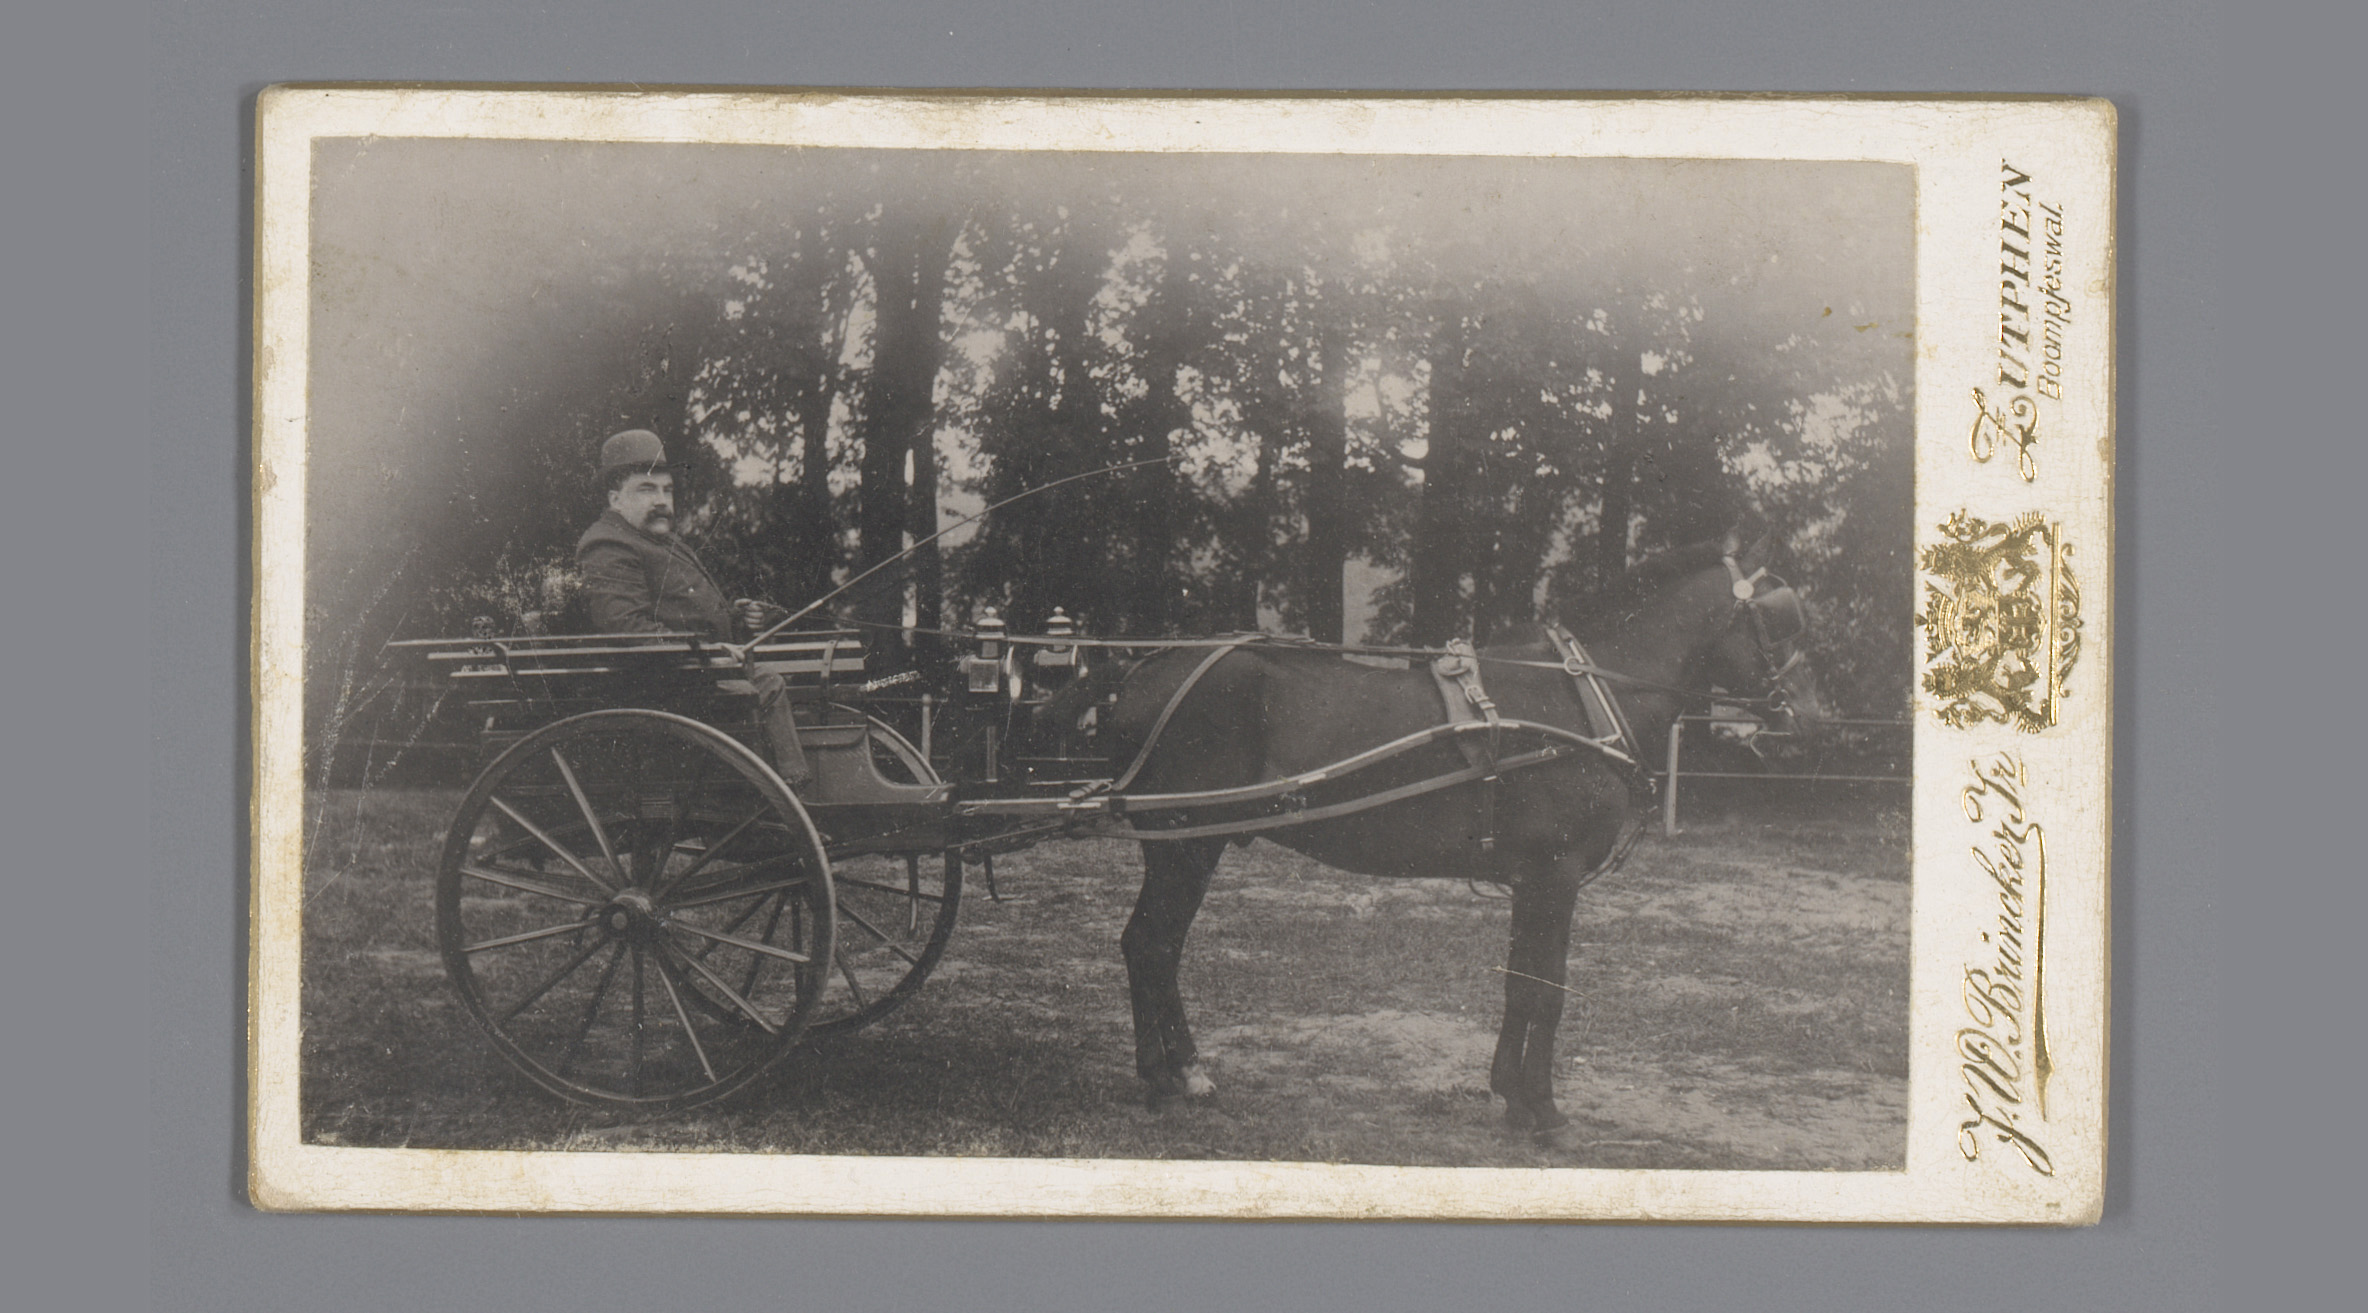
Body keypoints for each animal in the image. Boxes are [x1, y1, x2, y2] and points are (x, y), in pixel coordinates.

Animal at [1023, 525, 1829, 1143]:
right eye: (1781, 619)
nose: (1816, 721)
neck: (1580, 698)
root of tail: (1143, 668)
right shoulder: (1556, 873)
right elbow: (1548, 989)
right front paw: (1544, 1112)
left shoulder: (1531, 879)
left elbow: (1518, 983)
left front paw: (1509, 1093)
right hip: (1186, 844)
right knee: (1152, 945)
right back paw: (1171, 1077)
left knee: (1150, 946)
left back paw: (1178, 1073)